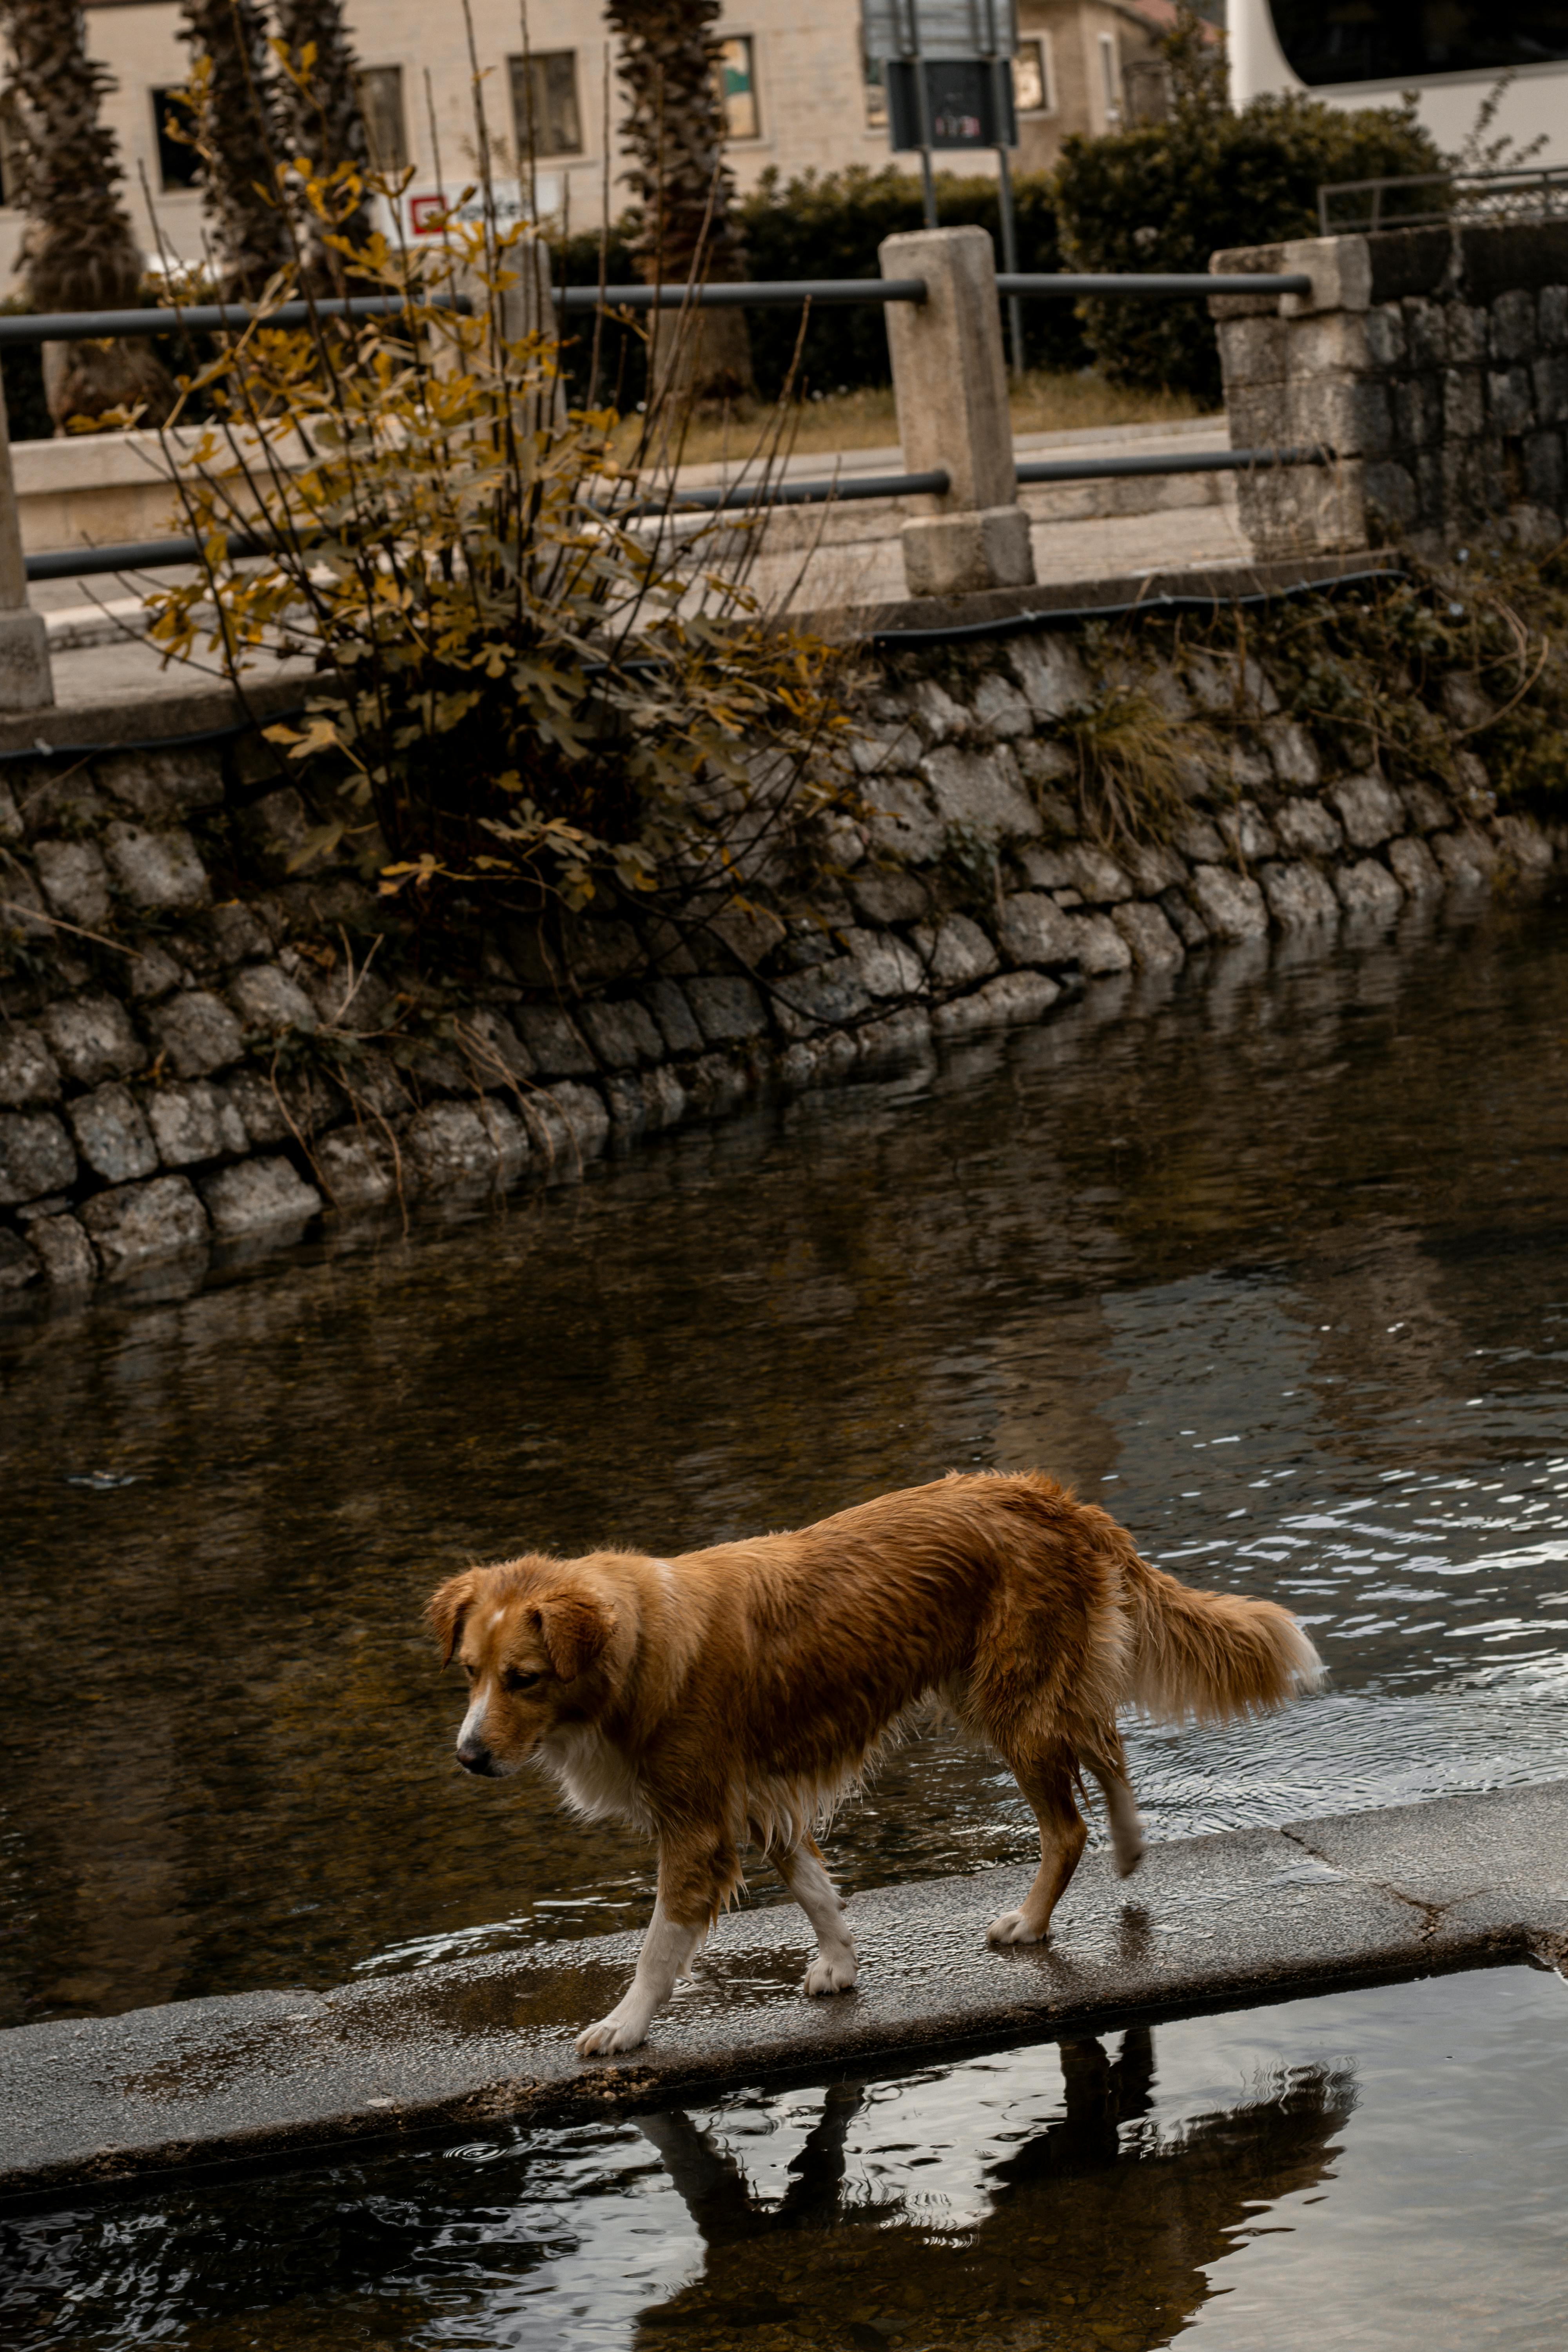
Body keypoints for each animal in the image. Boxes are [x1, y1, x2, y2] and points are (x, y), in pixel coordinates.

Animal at [423, 1468, 1316, 2060]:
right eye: (469, 1671)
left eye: (523, 1679)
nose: (468, 1756)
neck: (636, 1649)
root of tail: (1043, 1494)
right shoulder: (761, 1798)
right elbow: (814, 1889)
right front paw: (842, 1965)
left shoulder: (697, 1825)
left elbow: (658, 1944)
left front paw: (625, 2024)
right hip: (1024, 1688)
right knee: (1107, 1745)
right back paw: (1130, 1846)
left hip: (1011, 1704)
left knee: (1067, 1827)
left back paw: (1032, 1921)